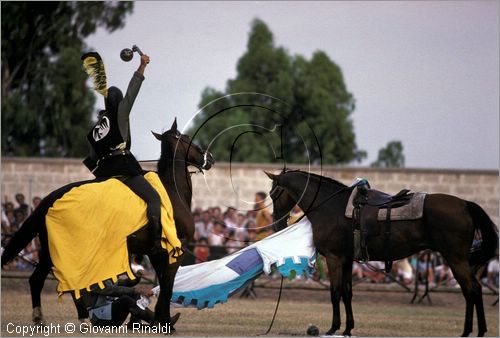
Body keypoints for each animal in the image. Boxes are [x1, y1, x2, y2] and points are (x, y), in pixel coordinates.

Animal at [0, 119, 212, 330]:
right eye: (186, 138)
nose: (209, 158)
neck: (171, 191)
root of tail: (49, 200)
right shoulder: (175, 251)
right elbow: (168, 284)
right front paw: (166, 322)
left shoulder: (156, 253)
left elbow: (162, 281)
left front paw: (158, 320)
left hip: (49, 251)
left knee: (37, 280)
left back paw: (42, 321)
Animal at [266, 170, 496, 336]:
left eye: (272, 194)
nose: (277, 224)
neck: (330, 207)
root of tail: (465, 204)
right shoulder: (347, 260)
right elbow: (347, 293)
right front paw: (348, 328)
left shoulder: (334, 258)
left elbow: (335, 293)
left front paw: (333, 328)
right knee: (474, 290)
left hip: (455, 259)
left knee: (471, 290)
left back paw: (469, 332)